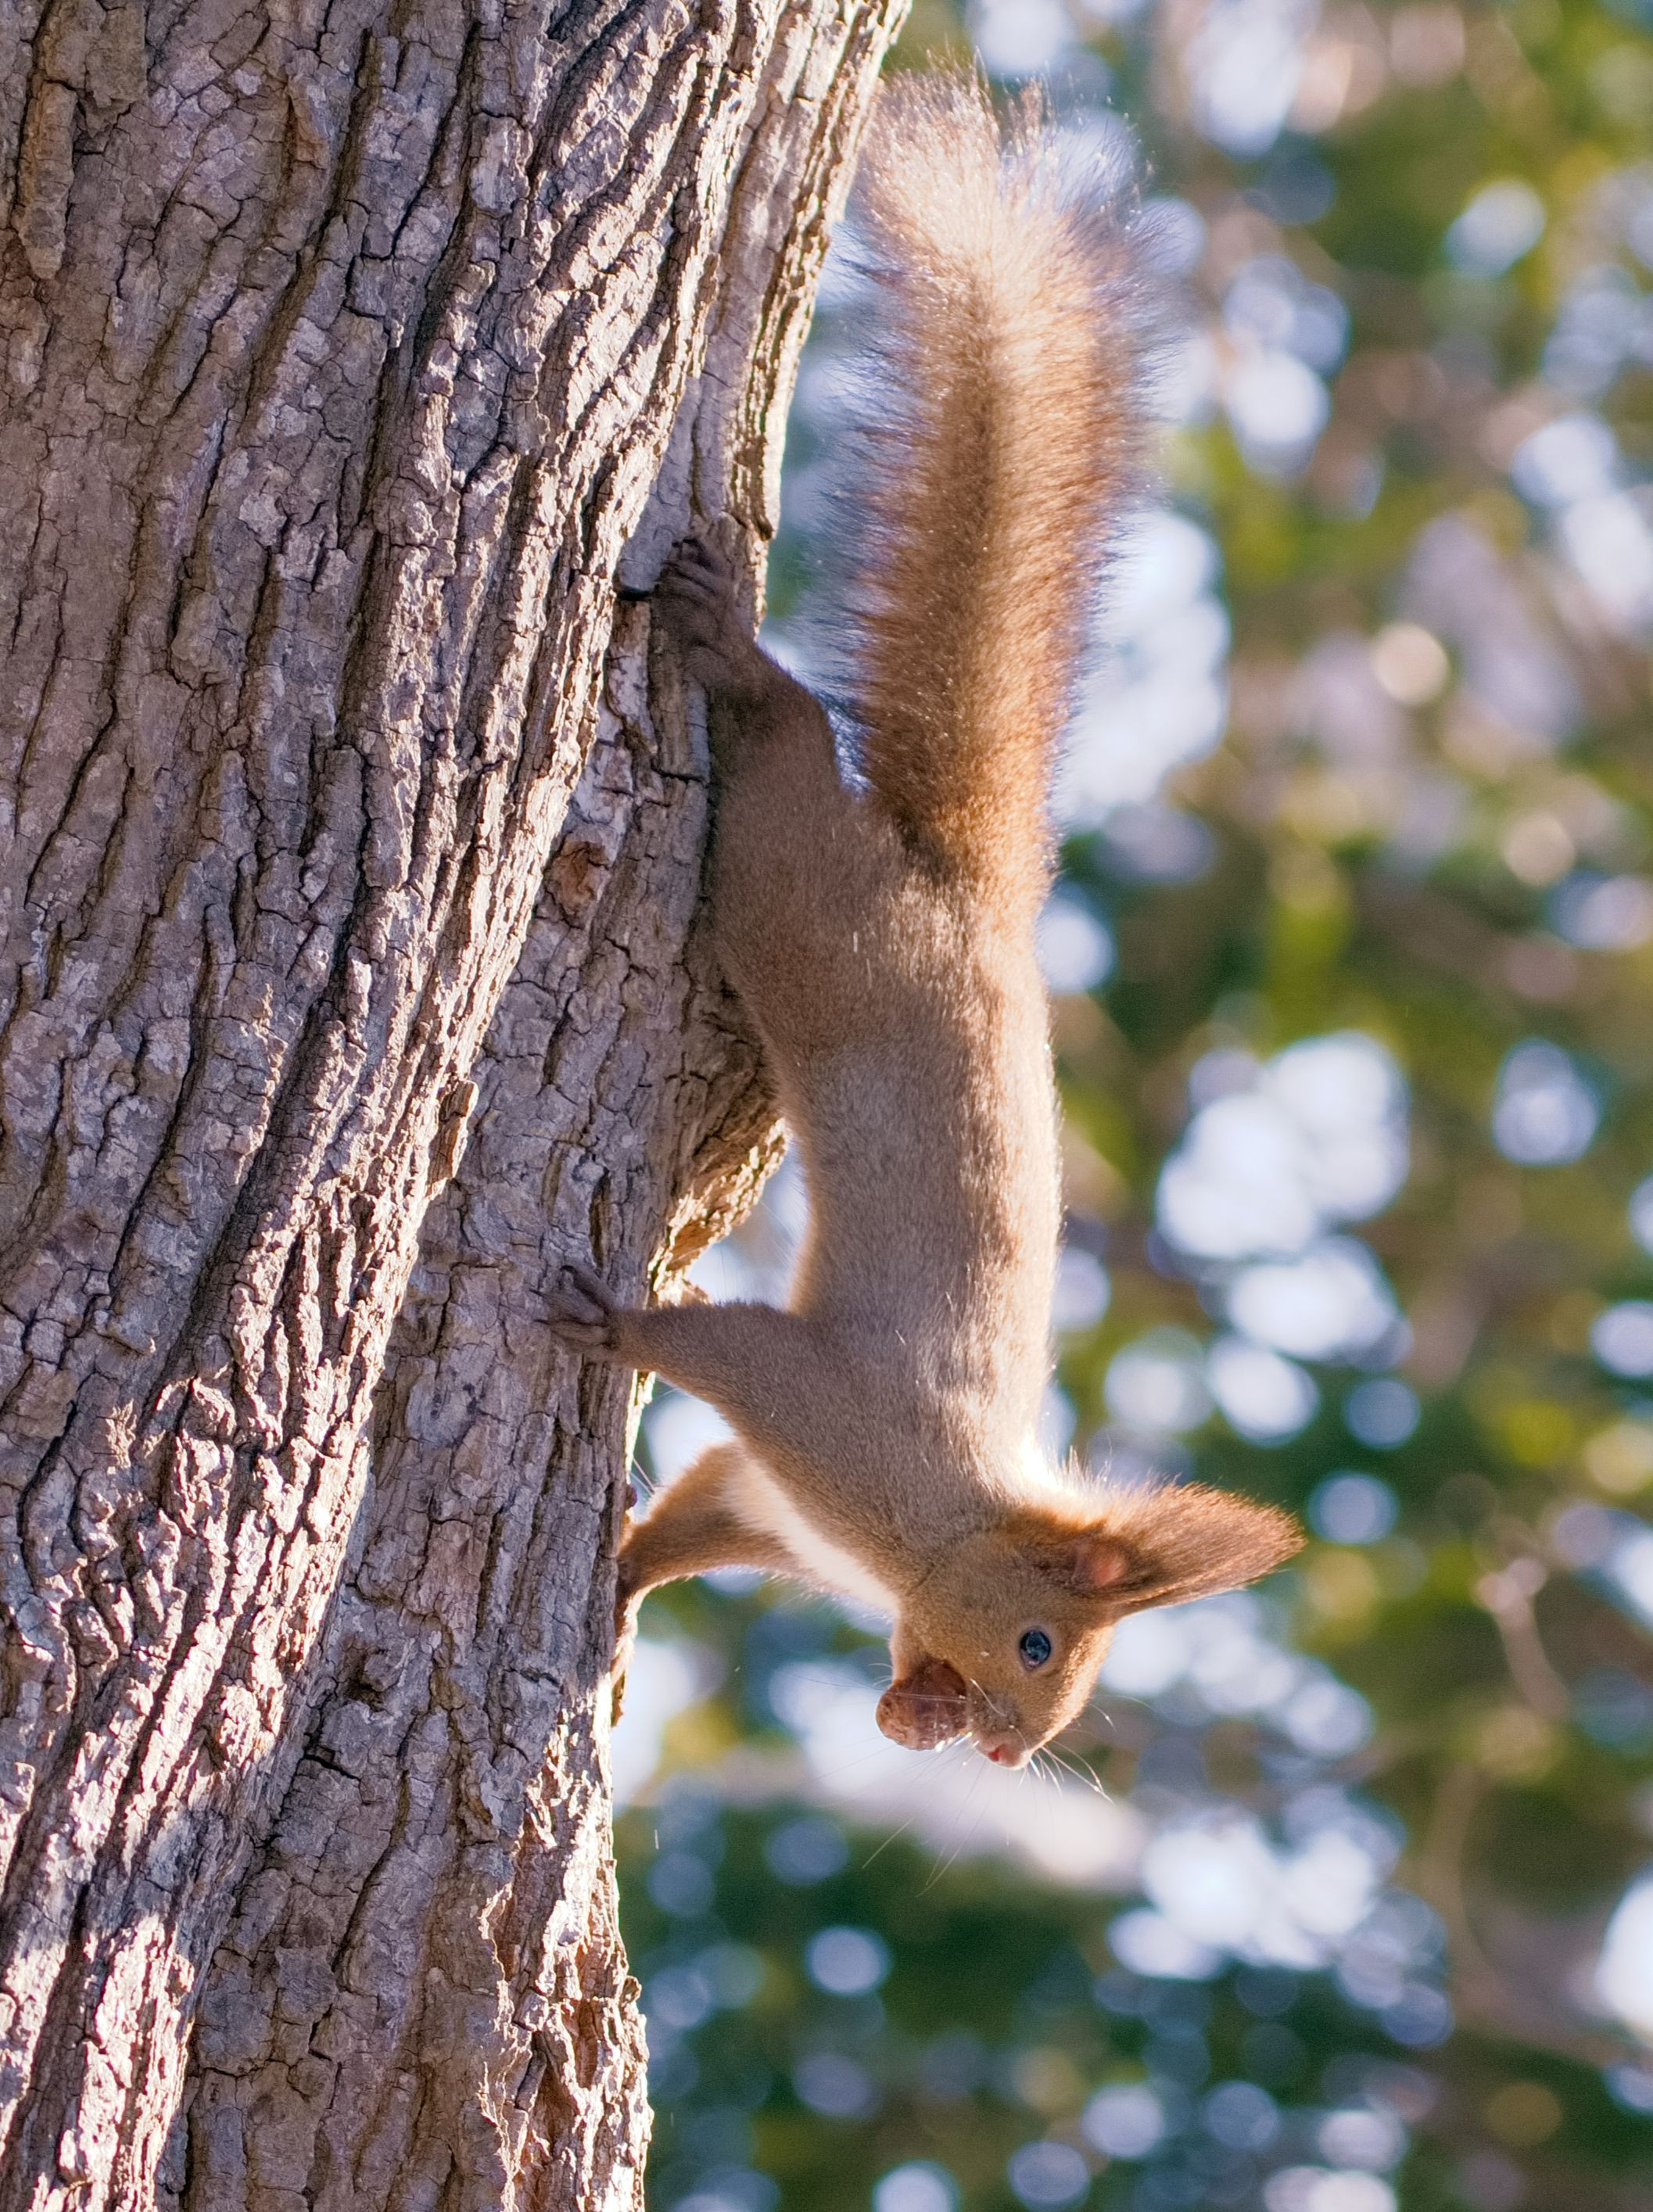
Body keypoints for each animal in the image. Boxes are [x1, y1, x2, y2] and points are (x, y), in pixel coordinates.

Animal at [550, 74, 1302, 1767]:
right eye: (1035, 1639)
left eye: (1060, 1678)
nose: (999, 1746)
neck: (938, 1521)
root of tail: (963, 894)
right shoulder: (828, 1414)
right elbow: (718, 1351)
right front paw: (611, 1327)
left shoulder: (765, 1499)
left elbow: (687, 1519)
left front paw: (619, 1597)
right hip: (800, 898)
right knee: (781, 739)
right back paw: (734, 655)